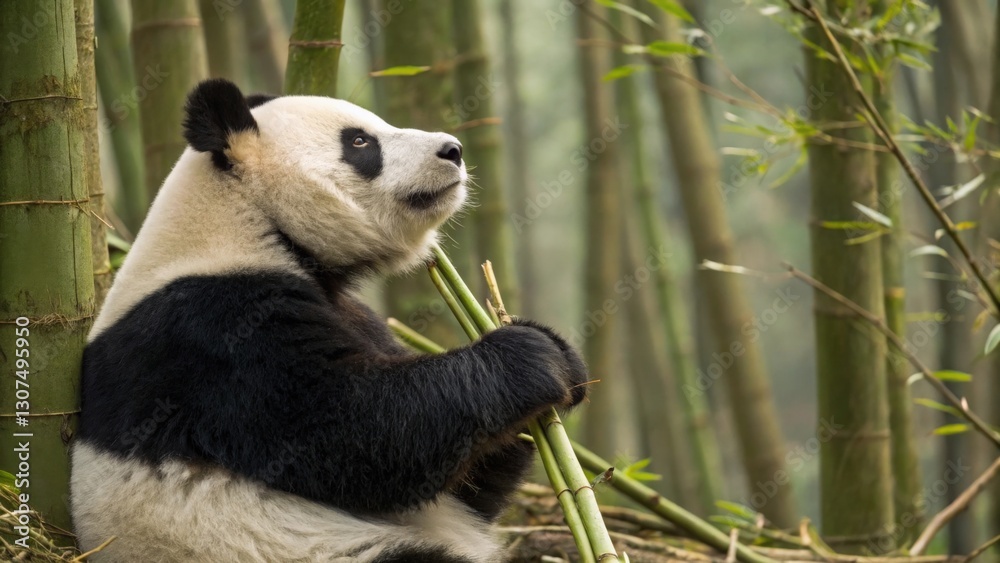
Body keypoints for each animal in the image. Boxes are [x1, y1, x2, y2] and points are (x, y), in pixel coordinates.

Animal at [70, 78, 588, 562]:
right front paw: (530, 358)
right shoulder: (213, 330)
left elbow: (469, 481)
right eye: (360, 142)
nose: (453, 150)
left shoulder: (349, 312)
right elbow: (347, 432)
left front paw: (563, 359)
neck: (247, 221)